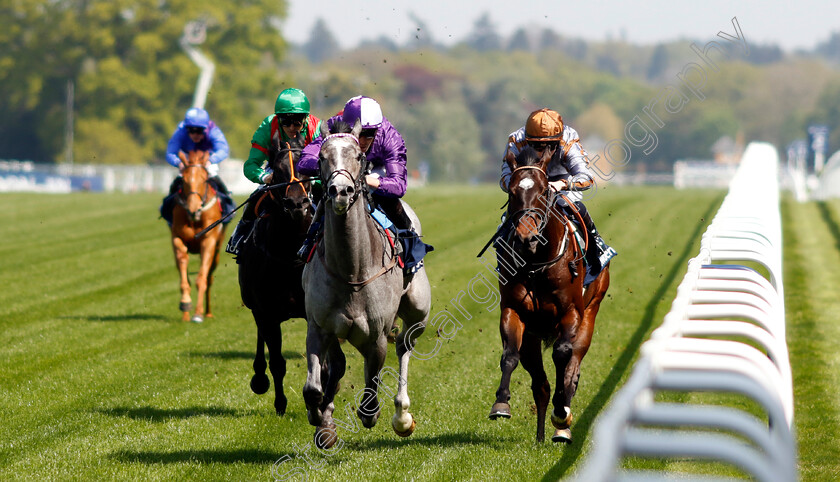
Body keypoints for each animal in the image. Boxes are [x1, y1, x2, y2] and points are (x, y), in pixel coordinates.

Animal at [170, 150, 226, 324]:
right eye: (184, 180)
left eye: (204, 179)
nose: (193, 209)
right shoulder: (177, 239)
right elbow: (184, 277)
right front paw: (185, 305)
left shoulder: (208, 241)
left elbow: (202, 279)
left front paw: (198, 313)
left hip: (217, 251)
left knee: (209, 278)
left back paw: (207, 312)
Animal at [236, 133, 316, 414]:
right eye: (279, 172)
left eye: (308, 169)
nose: (297, 204)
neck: (290, 254)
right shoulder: (267, 311)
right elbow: (278, 362)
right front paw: (280, 403)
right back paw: (259, 378)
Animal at [302, 119, 434, 448]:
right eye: (321, 156)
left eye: (359, 157)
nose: (340, 190)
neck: (352, 271)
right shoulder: (318, 326)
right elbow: (315, 387)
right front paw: (320, 419)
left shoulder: (376, 335)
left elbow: (370, 395)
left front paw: (371, 413)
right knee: (337, 366)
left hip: (418, 313)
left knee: (404, 346)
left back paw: (402, 415)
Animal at [486, 147, 612, 444]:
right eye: (512, 192)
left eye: (544, 191)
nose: (526, 237)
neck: (537, 264)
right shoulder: (514, 311)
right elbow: (509, 356)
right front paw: (501, 404)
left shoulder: (572, 312)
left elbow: (563, 355)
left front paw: (561, 410)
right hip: (532, 338)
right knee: (540, 384)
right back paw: (542, 434)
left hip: (591, 313)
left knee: (572, 369)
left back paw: (562, 425)